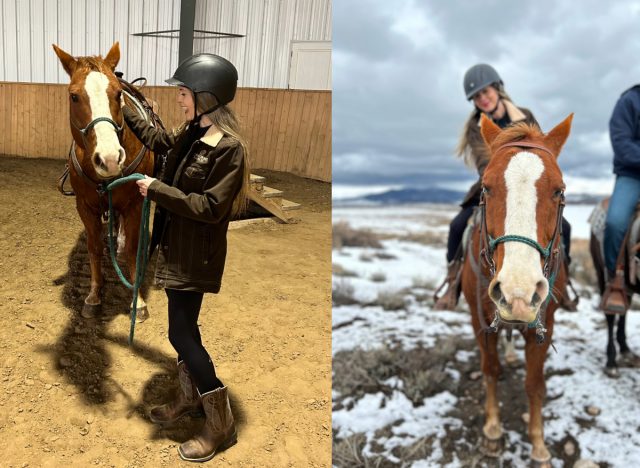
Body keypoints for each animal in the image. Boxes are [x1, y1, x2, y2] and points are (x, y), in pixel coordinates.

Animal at [52, 44, 152, 320]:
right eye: (74, 96)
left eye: (118, 94)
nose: (109, 159)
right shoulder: (85, 207)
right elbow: (94, 248)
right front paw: (94, 295)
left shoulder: (135, 205)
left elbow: (132, 250)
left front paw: (138, 301)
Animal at [462, 114, 572, 468]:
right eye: (486, 186)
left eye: (559, 190)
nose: (518, 293)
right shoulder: (480, 320)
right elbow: (490, 370)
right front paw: (493, 430)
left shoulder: (544, 323)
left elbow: (534, 384)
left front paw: (538, 444)